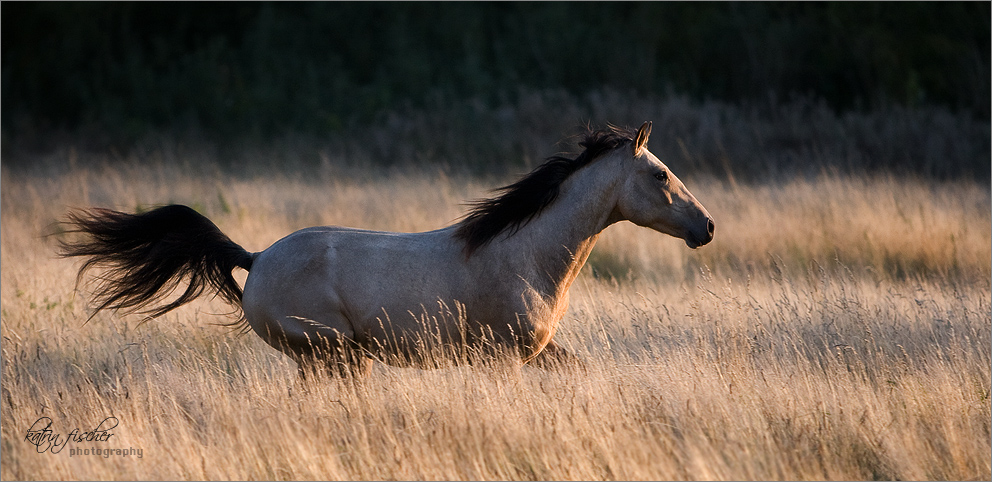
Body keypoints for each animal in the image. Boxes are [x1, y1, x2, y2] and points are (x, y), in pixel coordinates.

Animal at [58, 120, 712, 376]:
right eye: (660, 174)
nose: (706, 227)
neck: (527, 256)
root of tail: (257, 258)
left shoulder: (539, 352)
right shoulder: (506, 356)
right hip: (333, 355)